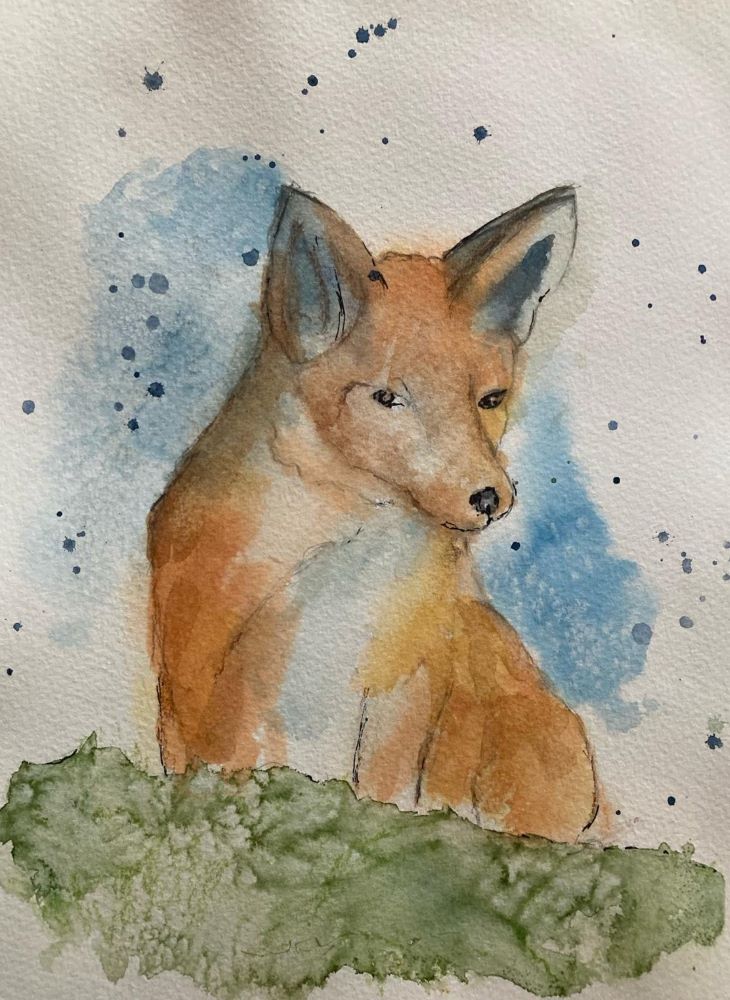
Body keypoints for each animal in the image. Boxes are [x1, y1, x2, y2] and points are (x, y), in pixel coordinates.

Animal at [147, 183, 601, 843]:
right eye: (388, 398)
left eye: (490, 400)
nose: (489, 497)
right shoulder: (221, 684)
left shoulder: (404, 684)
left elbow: (385, 793)